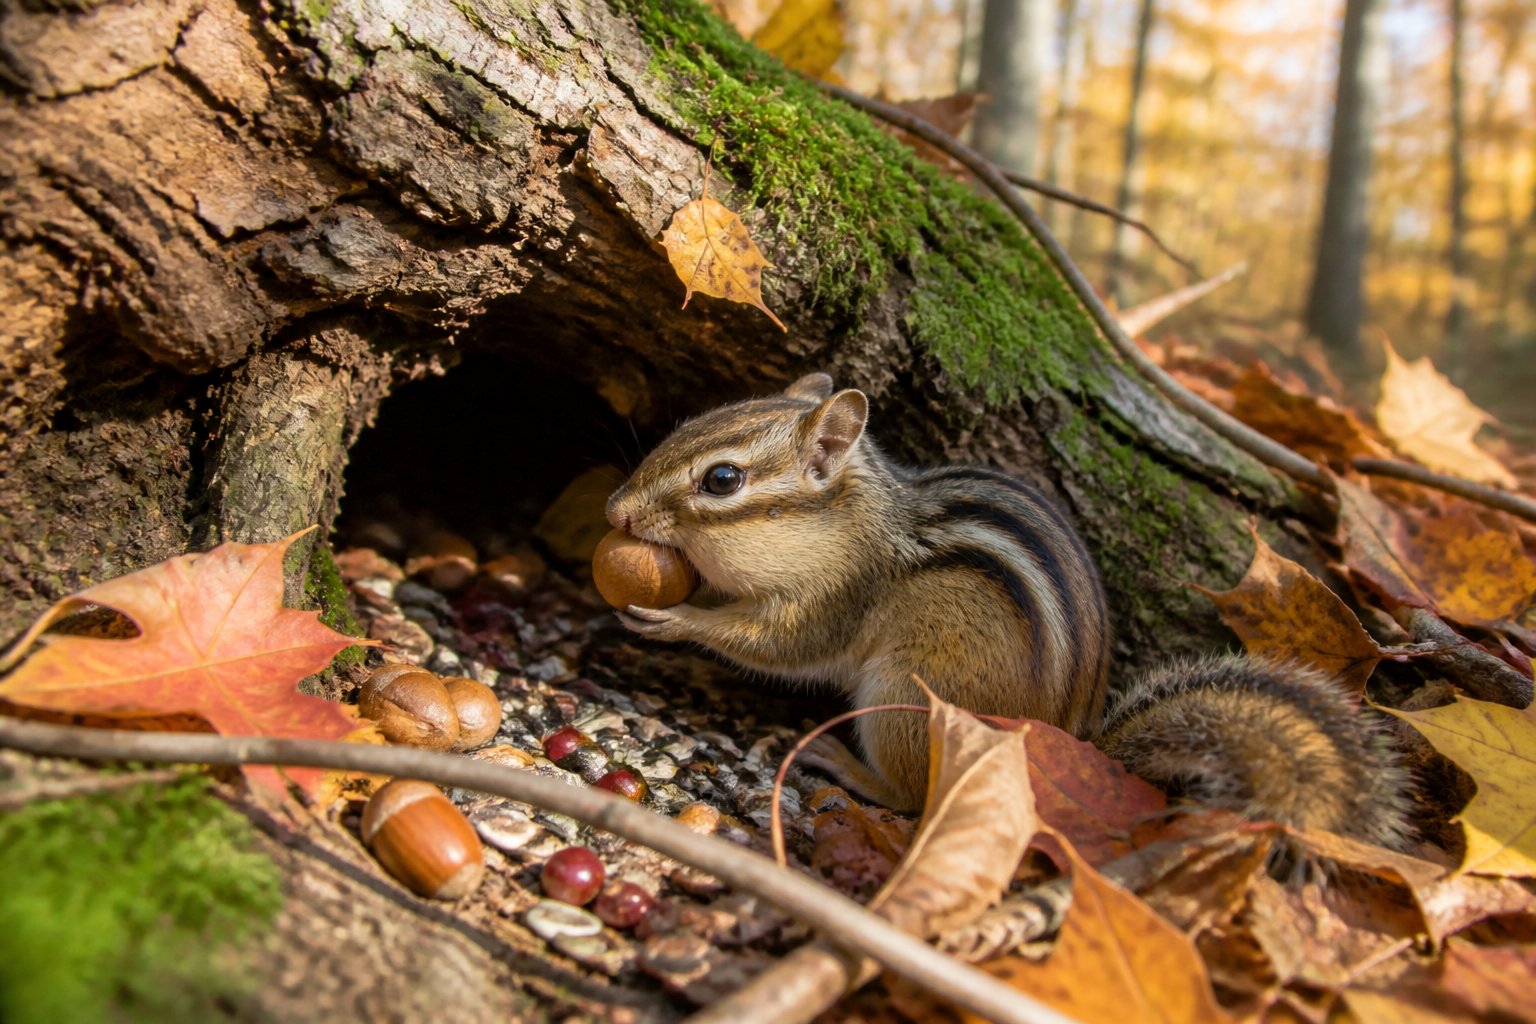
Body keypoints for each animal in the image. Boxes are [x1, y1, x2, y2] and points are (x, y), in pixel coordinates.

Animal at [606, 373, 1411, 848]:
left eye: (722, 480)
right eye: (688, 425)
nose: (615, 510)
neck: (849, 524)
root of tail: (1069, 741)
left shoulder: (836, 598)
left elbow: (777, 644)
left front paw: (679, 621)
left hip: (906, 698)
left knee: (909, 792)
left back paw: (845, 766)